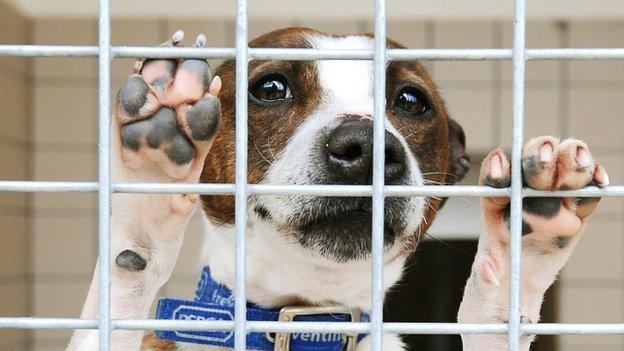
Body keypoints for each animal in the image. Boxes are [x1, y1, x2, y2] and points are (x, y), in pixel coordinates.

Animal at [66, 28, 608, 351]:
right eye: (270, 88)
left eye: (410, 100)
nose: (366, 147)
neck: (311, 314)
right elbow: (123, 280)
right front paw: (146, 203)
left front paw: (522, 252)